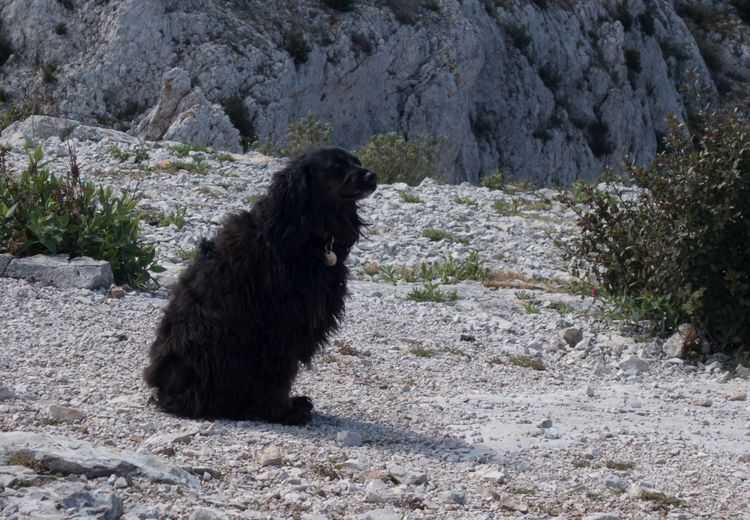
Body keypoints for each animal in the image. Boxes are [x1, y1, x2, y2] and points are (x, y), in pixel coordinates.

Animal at [142, 145, 376, 422]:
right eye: (337, 166)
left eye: (356, 161)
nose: (372, 176)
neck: (303, 230)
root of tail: (166, 393)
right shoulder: (281, 325)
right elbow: (280, 374)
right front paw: (283, 411)